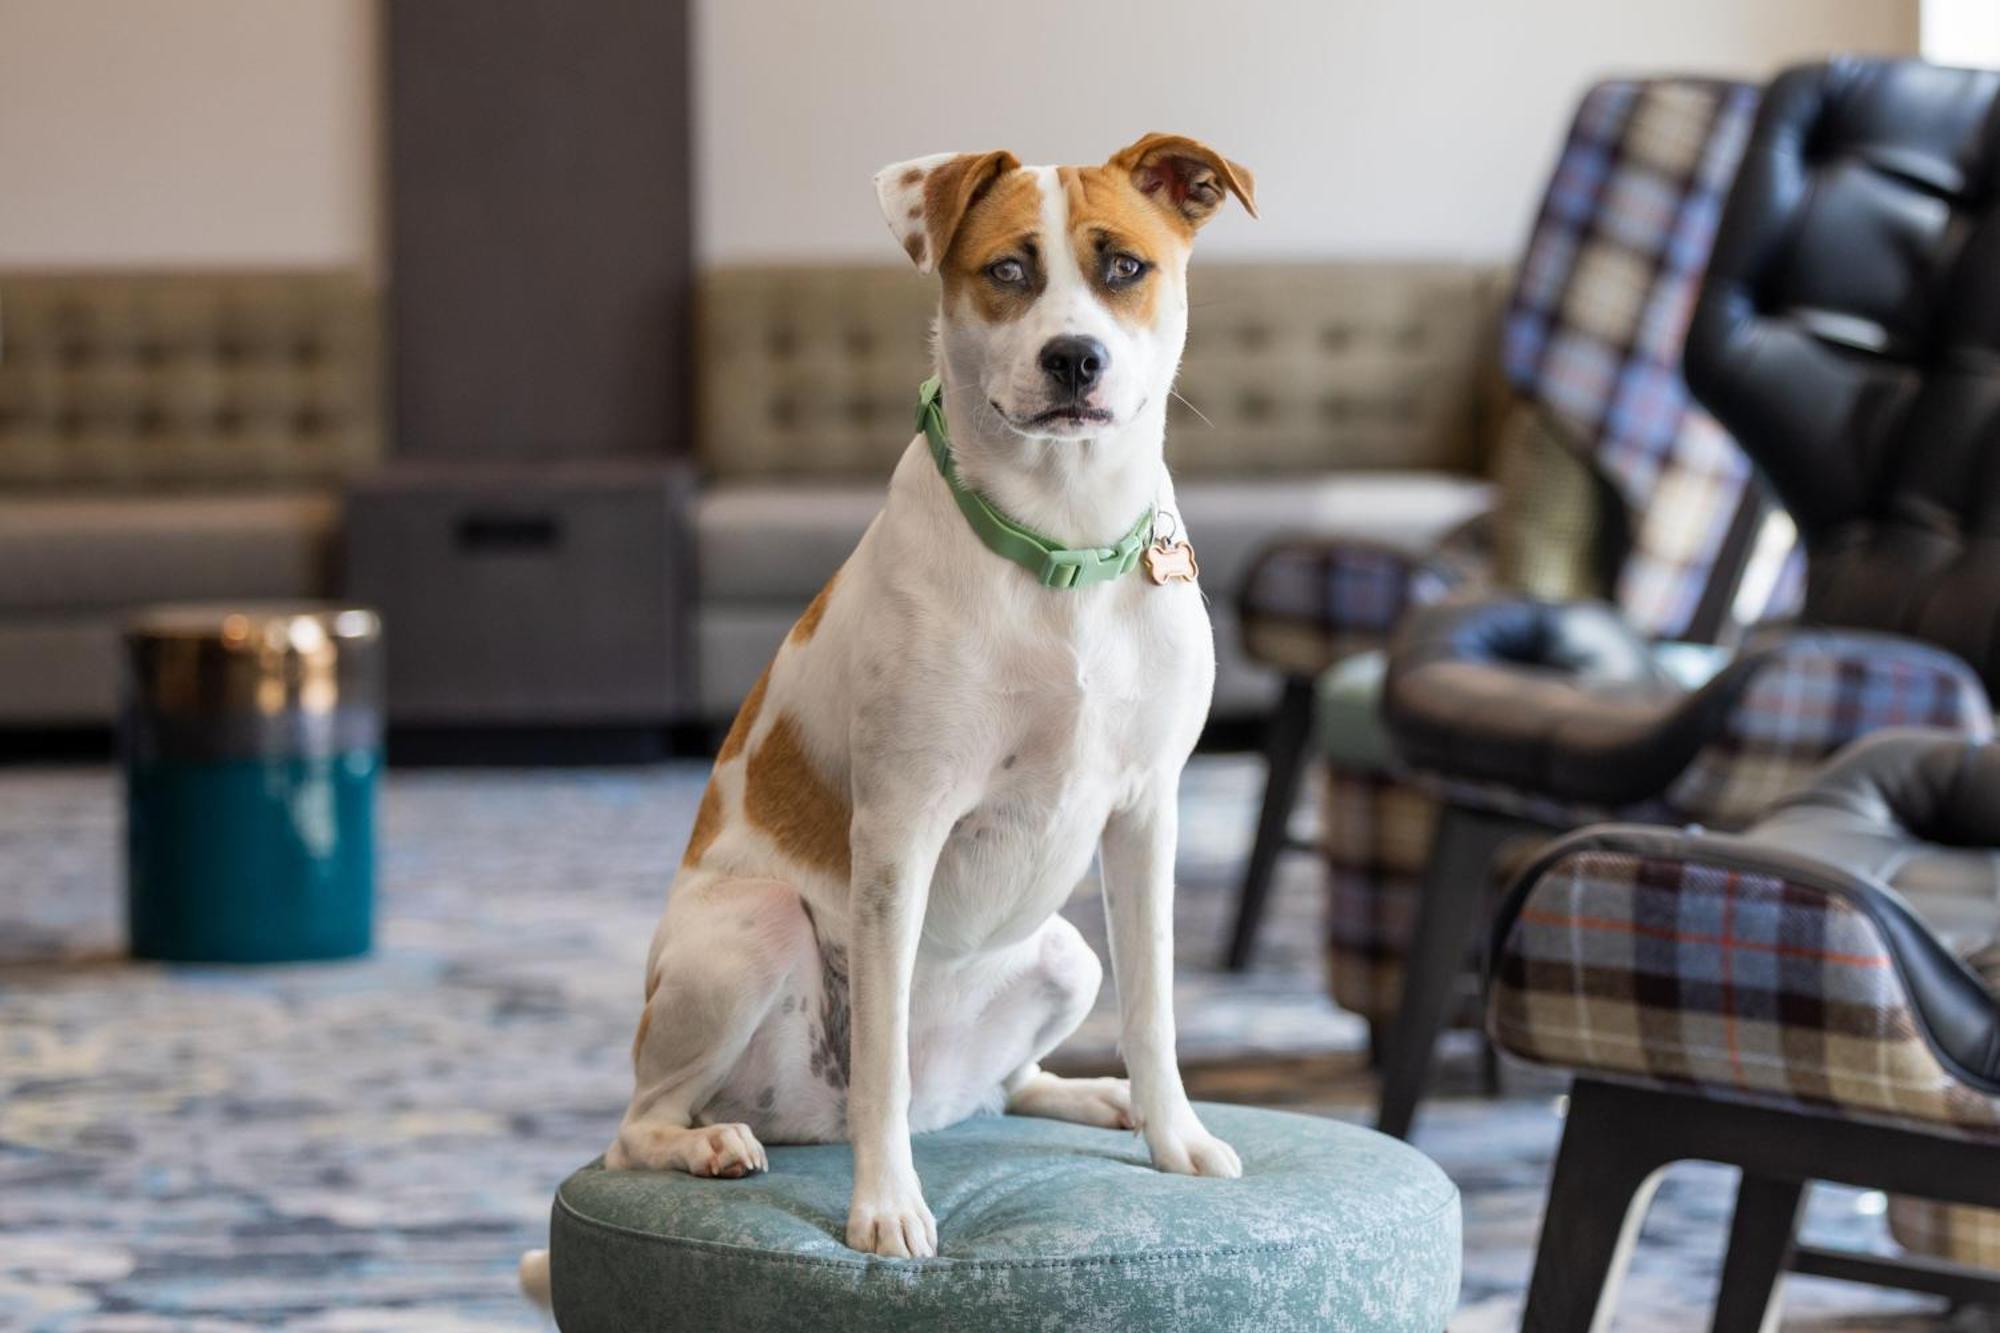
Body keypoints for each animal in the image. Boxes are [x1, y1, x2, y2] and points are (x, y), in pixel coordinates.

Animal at [524, 135, 1256, 1296]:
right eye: (1008, 270)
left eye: (1124, 268)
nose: (1074, 359)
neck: (1063, 546)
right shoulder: (903, 827)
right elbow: (880, 1068)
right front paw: (886, 1211)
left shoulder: (1146, 815)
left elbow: (1155, 1010)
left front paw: (1173, 1135)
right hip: (753, 934)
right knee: (642, 1123)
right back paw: (710, 1142)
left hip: (1063, 953)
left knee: (999, 1087)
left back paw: (1090, 1096)